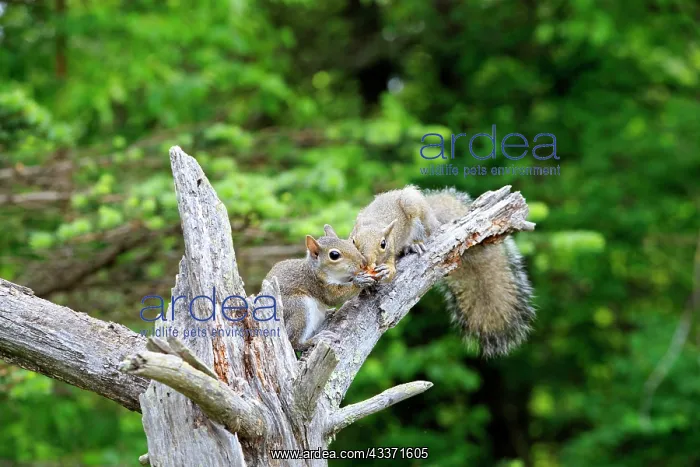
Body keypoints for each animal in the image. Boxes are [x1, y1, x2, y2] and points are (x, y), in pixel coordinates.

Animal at [349, 185, 535, 357]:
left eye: (383, 244)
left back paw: (414, 244)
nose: (366, 261)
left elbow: (391, 271)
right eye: (352, 241)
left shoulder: (392, 249)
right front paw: (362, 282)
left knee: (429, 229)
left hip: (414, 206)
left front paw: (387, 271)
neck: (374, 222)